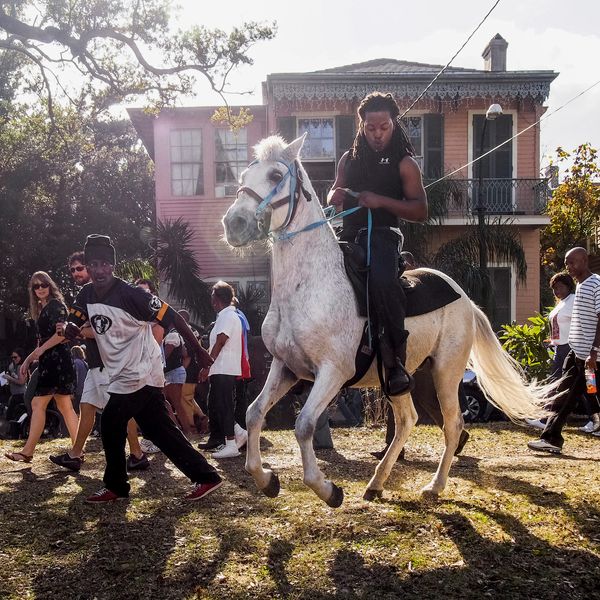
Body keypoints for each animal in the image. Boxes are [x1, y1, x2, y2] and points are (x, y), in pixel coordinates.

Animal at [224, 135, 548, 506]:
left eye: (276, 175)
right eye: (244, 175)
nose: (233, 224)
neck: (309, 284)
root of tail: (465, 299)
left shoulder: (334, 371)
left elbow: (304, 425)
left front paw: (328, 489)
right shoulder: (286, 367)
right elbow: (253, 413)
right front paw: (266, 479)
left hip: (446, 372)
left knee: (452, 425)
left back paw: (434, 486)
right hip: (403, 376)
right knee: (407, 420)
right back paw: (377, 483)